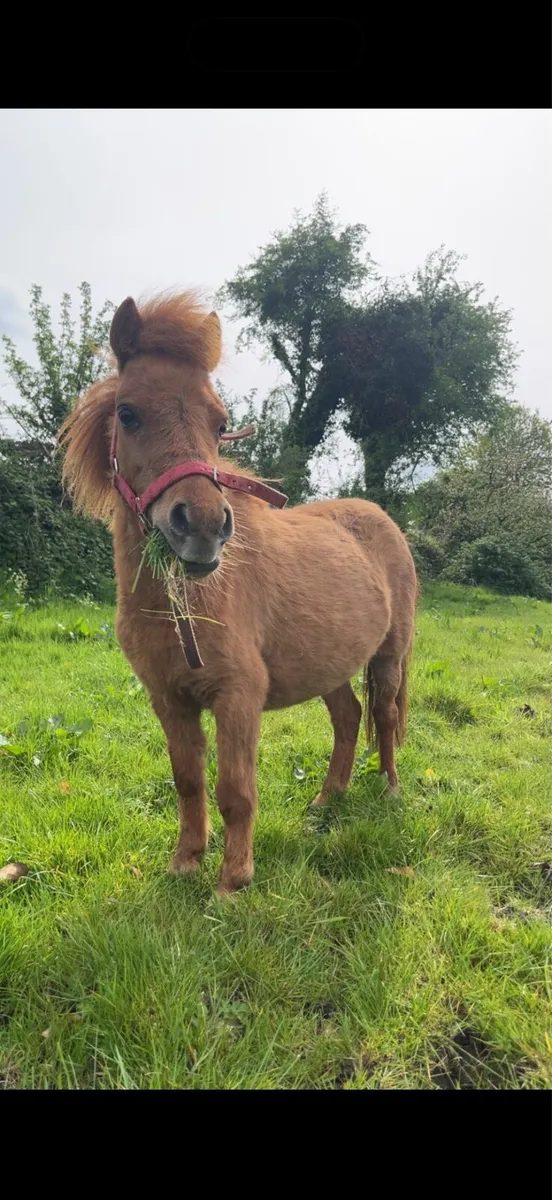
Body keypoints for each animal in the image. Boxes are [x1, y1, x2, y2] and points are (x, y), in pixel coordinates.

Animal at [59, 292, 417, 895]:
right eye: (128, 413)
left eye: (220, 422)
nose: (203, 525)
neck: (184, 605)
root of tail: (380, 518)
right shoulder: (169, 701)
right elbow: (188, 781)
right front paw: (185, 863)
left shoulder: (237, 698)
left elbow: (235, 791)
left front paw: (232, 881)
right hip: (329, 666)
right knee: (348, 718)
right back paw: (326, 800)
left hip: (390, 655)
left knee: (385, 716)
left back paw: (389, 789)